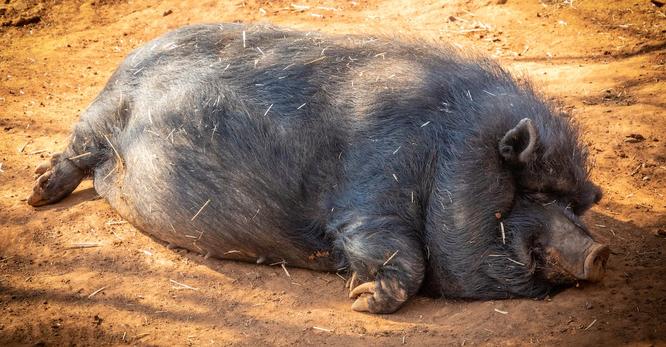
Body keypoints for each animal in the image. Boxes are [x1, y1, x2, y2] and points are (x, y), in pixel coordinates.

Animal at [27, 23, 608, 314]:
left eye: (575, 203)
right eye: (535, 192)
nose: (600, 252)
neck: (445, 154)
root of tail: (129, 57)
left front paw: (358, 296)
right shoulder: (369, 196)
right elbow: (404, 256)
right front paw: (359, 301)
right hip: (100, 114)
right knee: (75, 151)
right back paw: (36, 196)